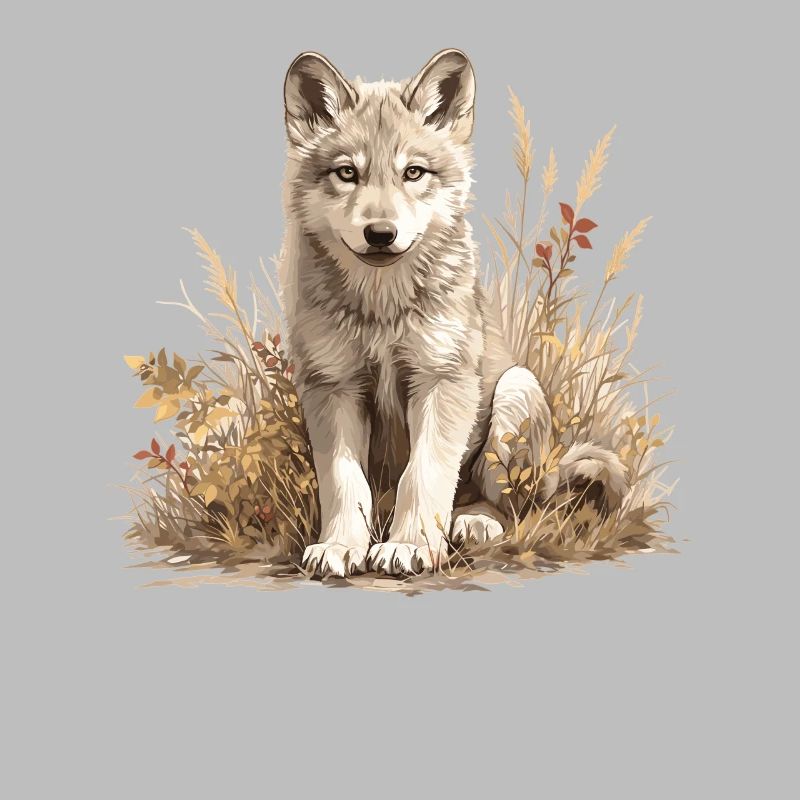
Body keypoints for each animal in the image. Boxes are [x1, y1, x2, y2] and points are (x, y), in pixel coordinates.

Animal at [278, 49, 627, 577]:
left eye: (414, 173)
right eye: (347, 173)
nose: (380, 233)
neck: (383, 309)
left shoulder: (442, 380)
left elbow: (423, 474)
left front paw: (409, 546)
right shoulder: (332, 386)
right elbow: (343, 483)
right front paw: (339, 546)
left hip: (515, 392)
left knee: (509, 507)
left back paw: (474, 522)